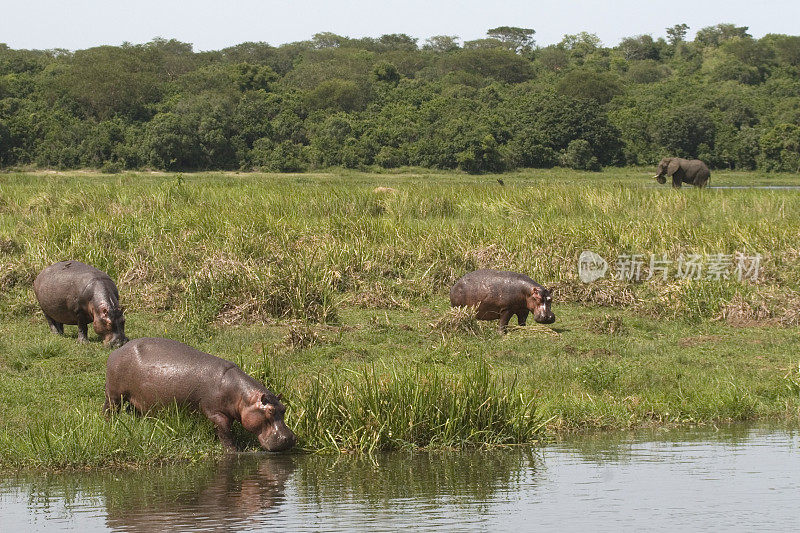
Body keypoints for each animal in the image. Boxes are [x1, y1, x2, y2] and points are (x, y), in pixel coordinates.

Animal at [103, 336, 296, 454]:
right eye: (269, 411)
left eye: (284, 408)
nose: (288, 438)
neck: (241, 397)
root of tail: (117, 351)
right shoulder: (216, 413)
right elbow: (225, 432)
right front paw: (234, 451)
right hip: (114, 394)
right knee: (109, 409)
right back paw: (109, 425)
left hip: (135, 398)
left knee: (133, 411)